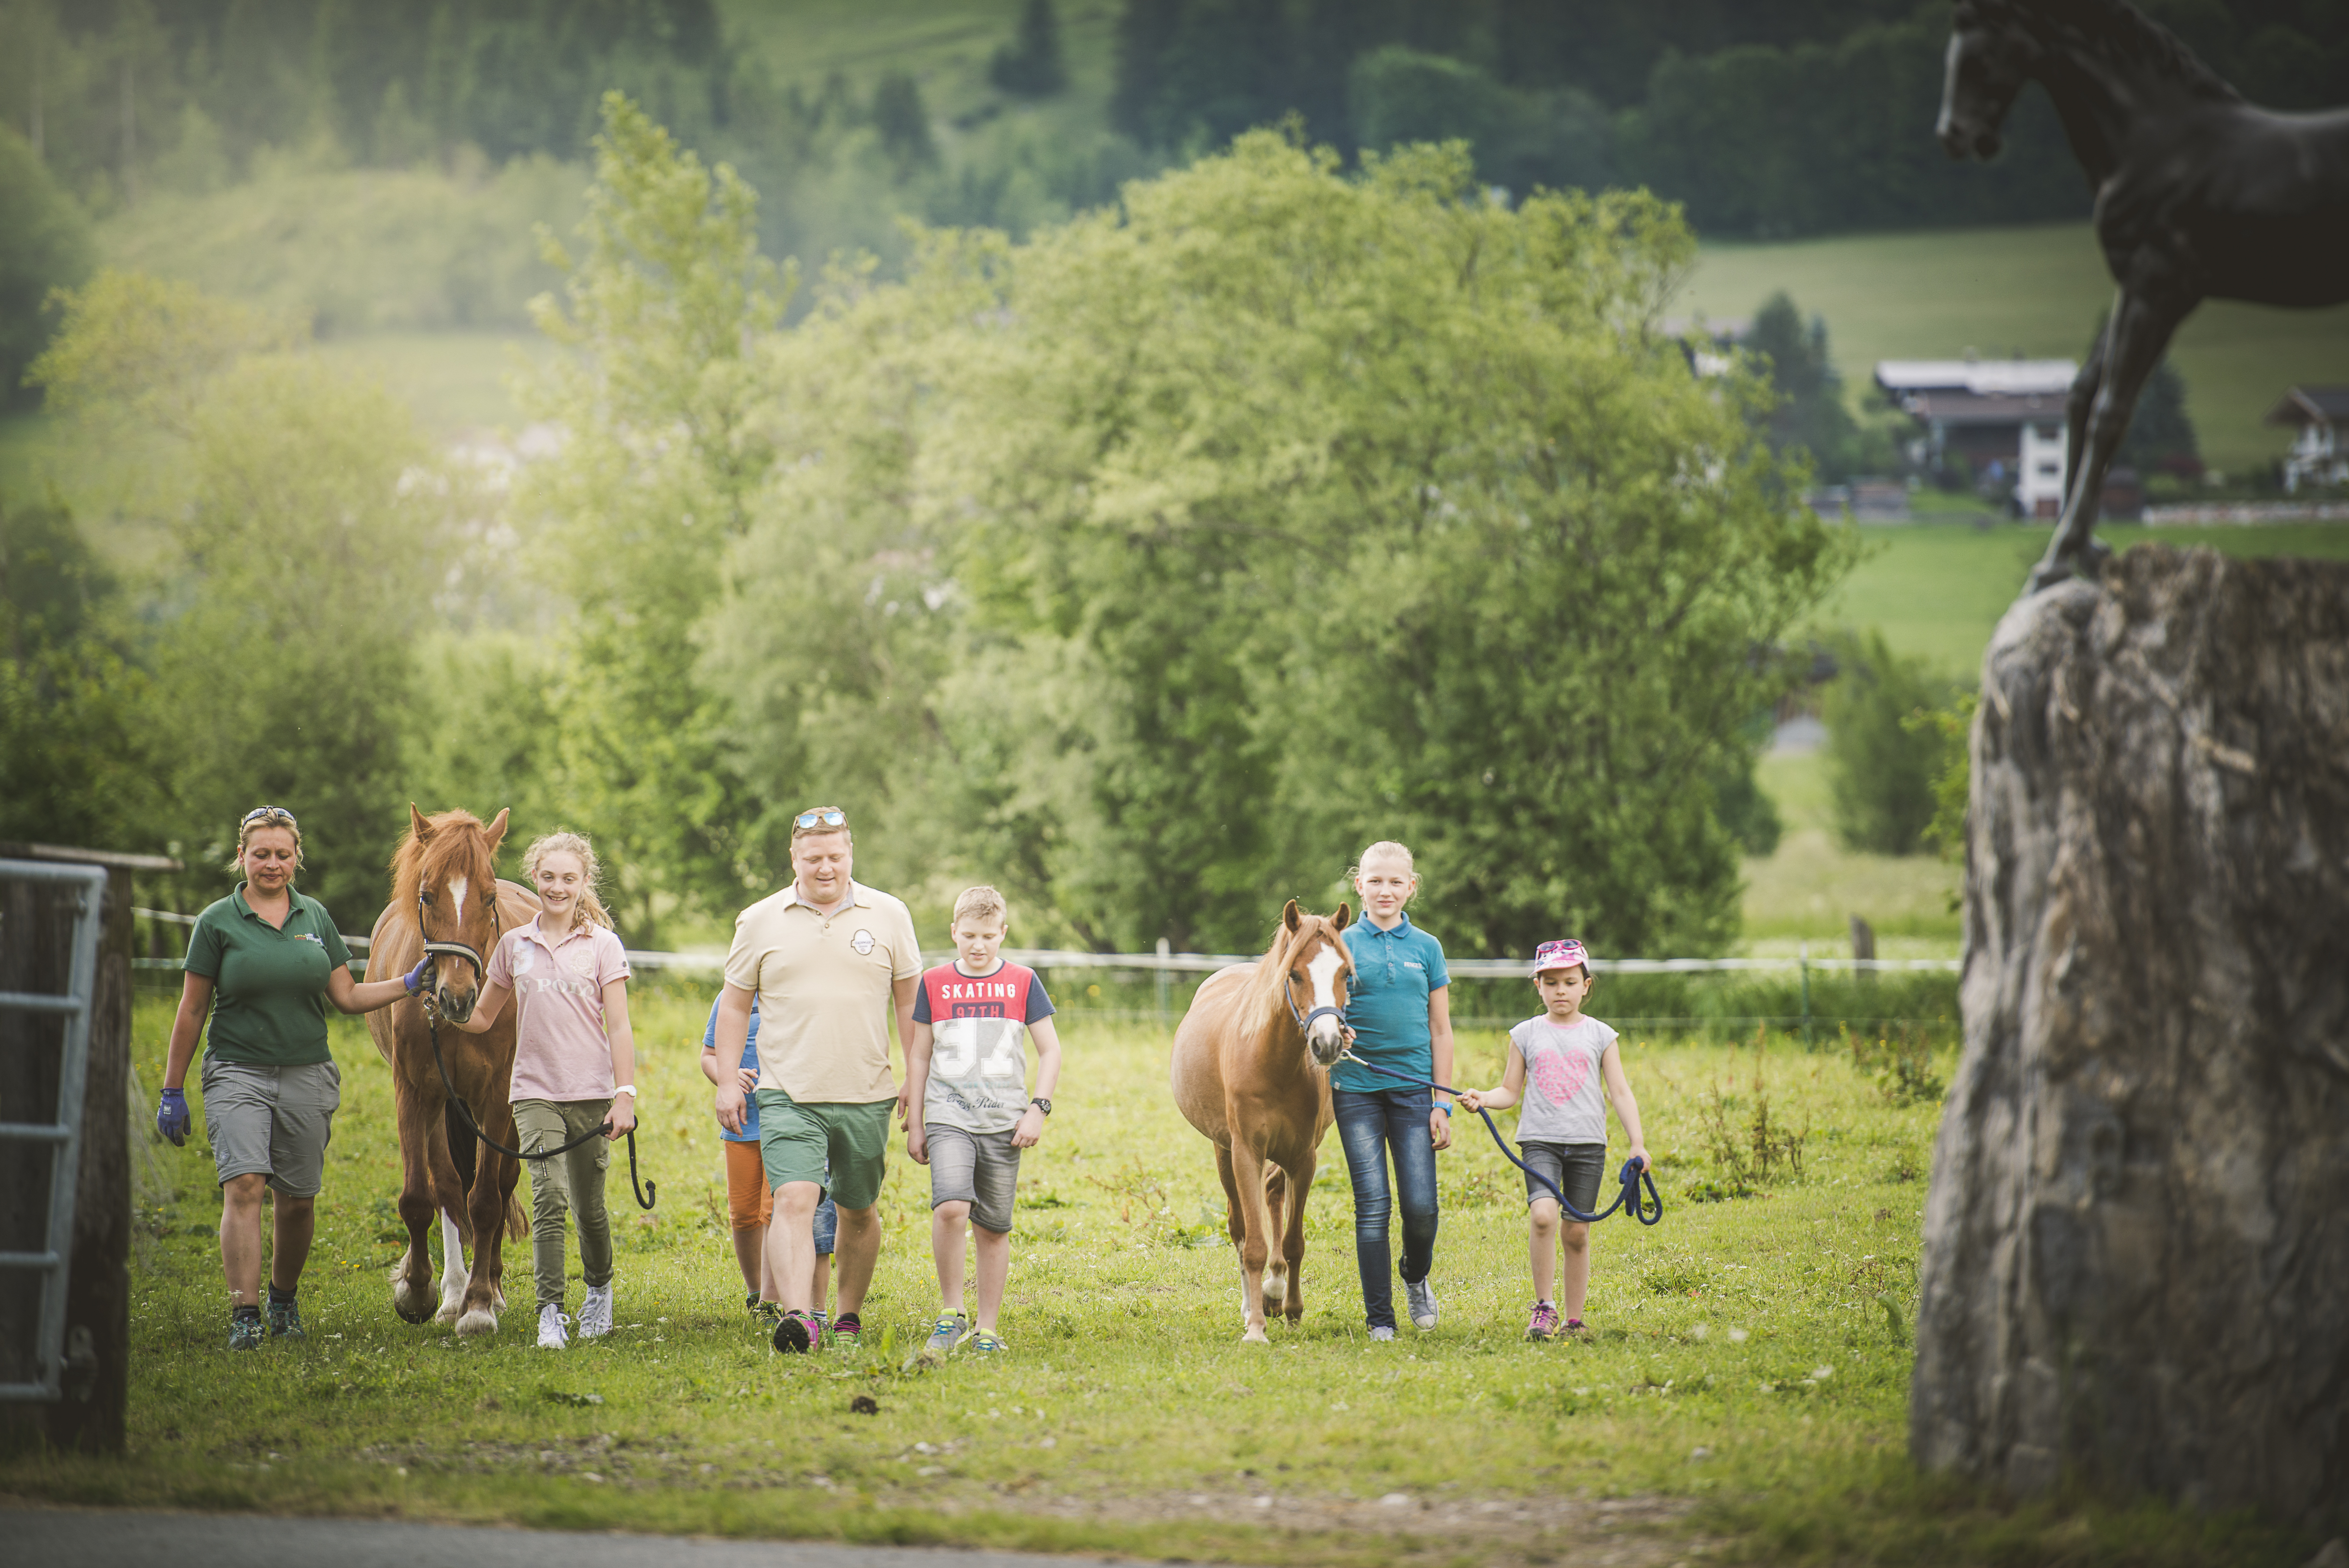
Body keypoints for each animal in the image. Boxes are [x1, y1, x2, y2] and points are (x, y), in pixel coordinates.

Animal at [359, 808, 535, 1335]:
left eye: (489, 898)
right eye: (426, 895)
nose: (457, 997)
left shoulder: (496, 1097)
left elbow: (486, 1199)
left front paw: (479, 1306)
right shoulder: (415, 1089)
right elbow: (422, 1196)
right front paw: (417, 1291)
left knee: (497, 1183)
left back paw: (487, 1288)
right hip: (443, 1103)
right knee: (448, 1183)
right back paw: (453, 1292)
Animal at [1165, 903, 1353, 1344]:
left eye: (1345, 974)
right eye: (1295, 974)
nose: (1327, 1044)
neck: (1274, 1061)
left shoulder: (1304, 1158)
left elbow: (1294, 1241)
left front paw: (1292, 1309)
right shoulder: (1246, 1152)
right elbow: (1252, 1245)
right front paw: (1255, 1328)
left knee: (1273, 1196)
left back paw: (1273, 1291)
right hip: (1224, 1151)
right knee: (1238, 1227)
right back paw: (1253, 1304)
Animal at [1935, 0, 2349, 594]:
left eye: (1978, 60)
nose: (1953, 136)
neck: (2154, 140)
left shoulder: (2159, 288)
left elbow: (2111, 410)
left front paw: (2057, 557)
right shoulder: (2135, 284)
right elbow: (2082, 394)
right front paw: (2086, 550)